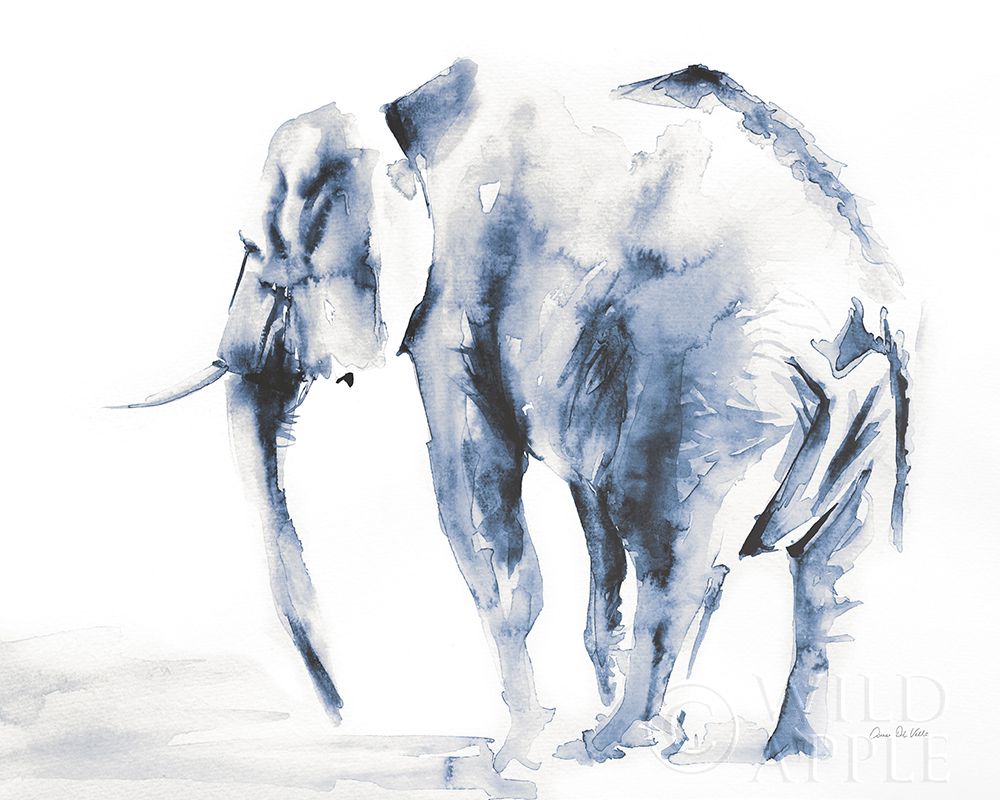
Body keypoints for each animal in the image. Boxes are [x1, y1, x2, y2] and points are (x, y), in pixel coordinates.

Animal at [123, 60, 914, 771]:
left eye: (255, 253)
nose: (338, 709)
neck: (400, 117)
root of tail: (859, 307)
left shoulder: (455, 298)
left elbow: (474, 489)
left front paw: (512, 757)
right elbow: (593, 525)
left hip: (714, 390)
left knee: (673, 550)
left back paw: (607, 744)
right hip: (869, 414)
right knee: (834, 575)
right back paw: (780, 754)